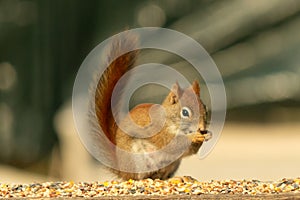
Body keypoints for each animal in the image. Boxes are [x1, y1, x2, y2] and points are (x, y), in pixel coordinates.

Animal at [91, 32, 211, 180]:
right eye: (185, 113)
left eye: (205, 109)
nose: (202, 128)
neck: (169, 120)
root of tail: (122, 170)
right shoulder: (158, 132)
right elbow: (173, 145)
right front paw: (194, 137)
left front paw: (206, 135)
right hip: (138, 159)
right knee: (142, 178)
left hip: (172, 164)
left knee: (160, 177)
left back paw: (177, 178)